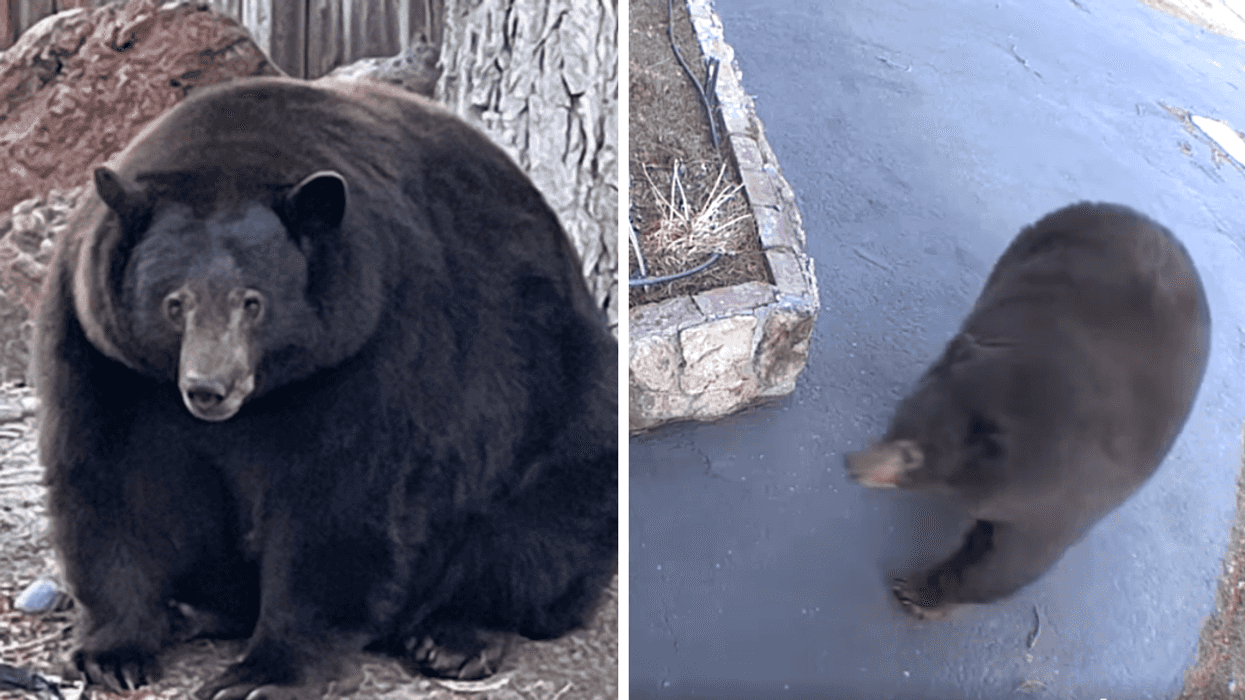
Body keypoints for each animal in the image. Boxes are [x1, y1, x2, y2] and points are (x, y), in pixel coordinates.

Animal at [35, 76, 617, 699]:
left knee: (539, 532)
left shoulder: (377, 336)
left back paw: (454, 636)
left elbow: (340, 497)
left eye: (253, 302)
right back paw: (192, 610)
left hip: (559, 406)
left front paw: (263, 674)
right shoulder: (102, 350)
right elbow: (115, 477)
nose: (209, 388)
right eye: (174, 303)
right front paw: (114, 651)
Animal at [844, 202, 1210, 620]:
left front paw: (918, 593)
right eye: (896, 422)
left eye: (912, 456)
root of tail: (1142, 218)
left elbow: (1014, 559)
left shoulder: (1066, 492)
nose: (852, 465)